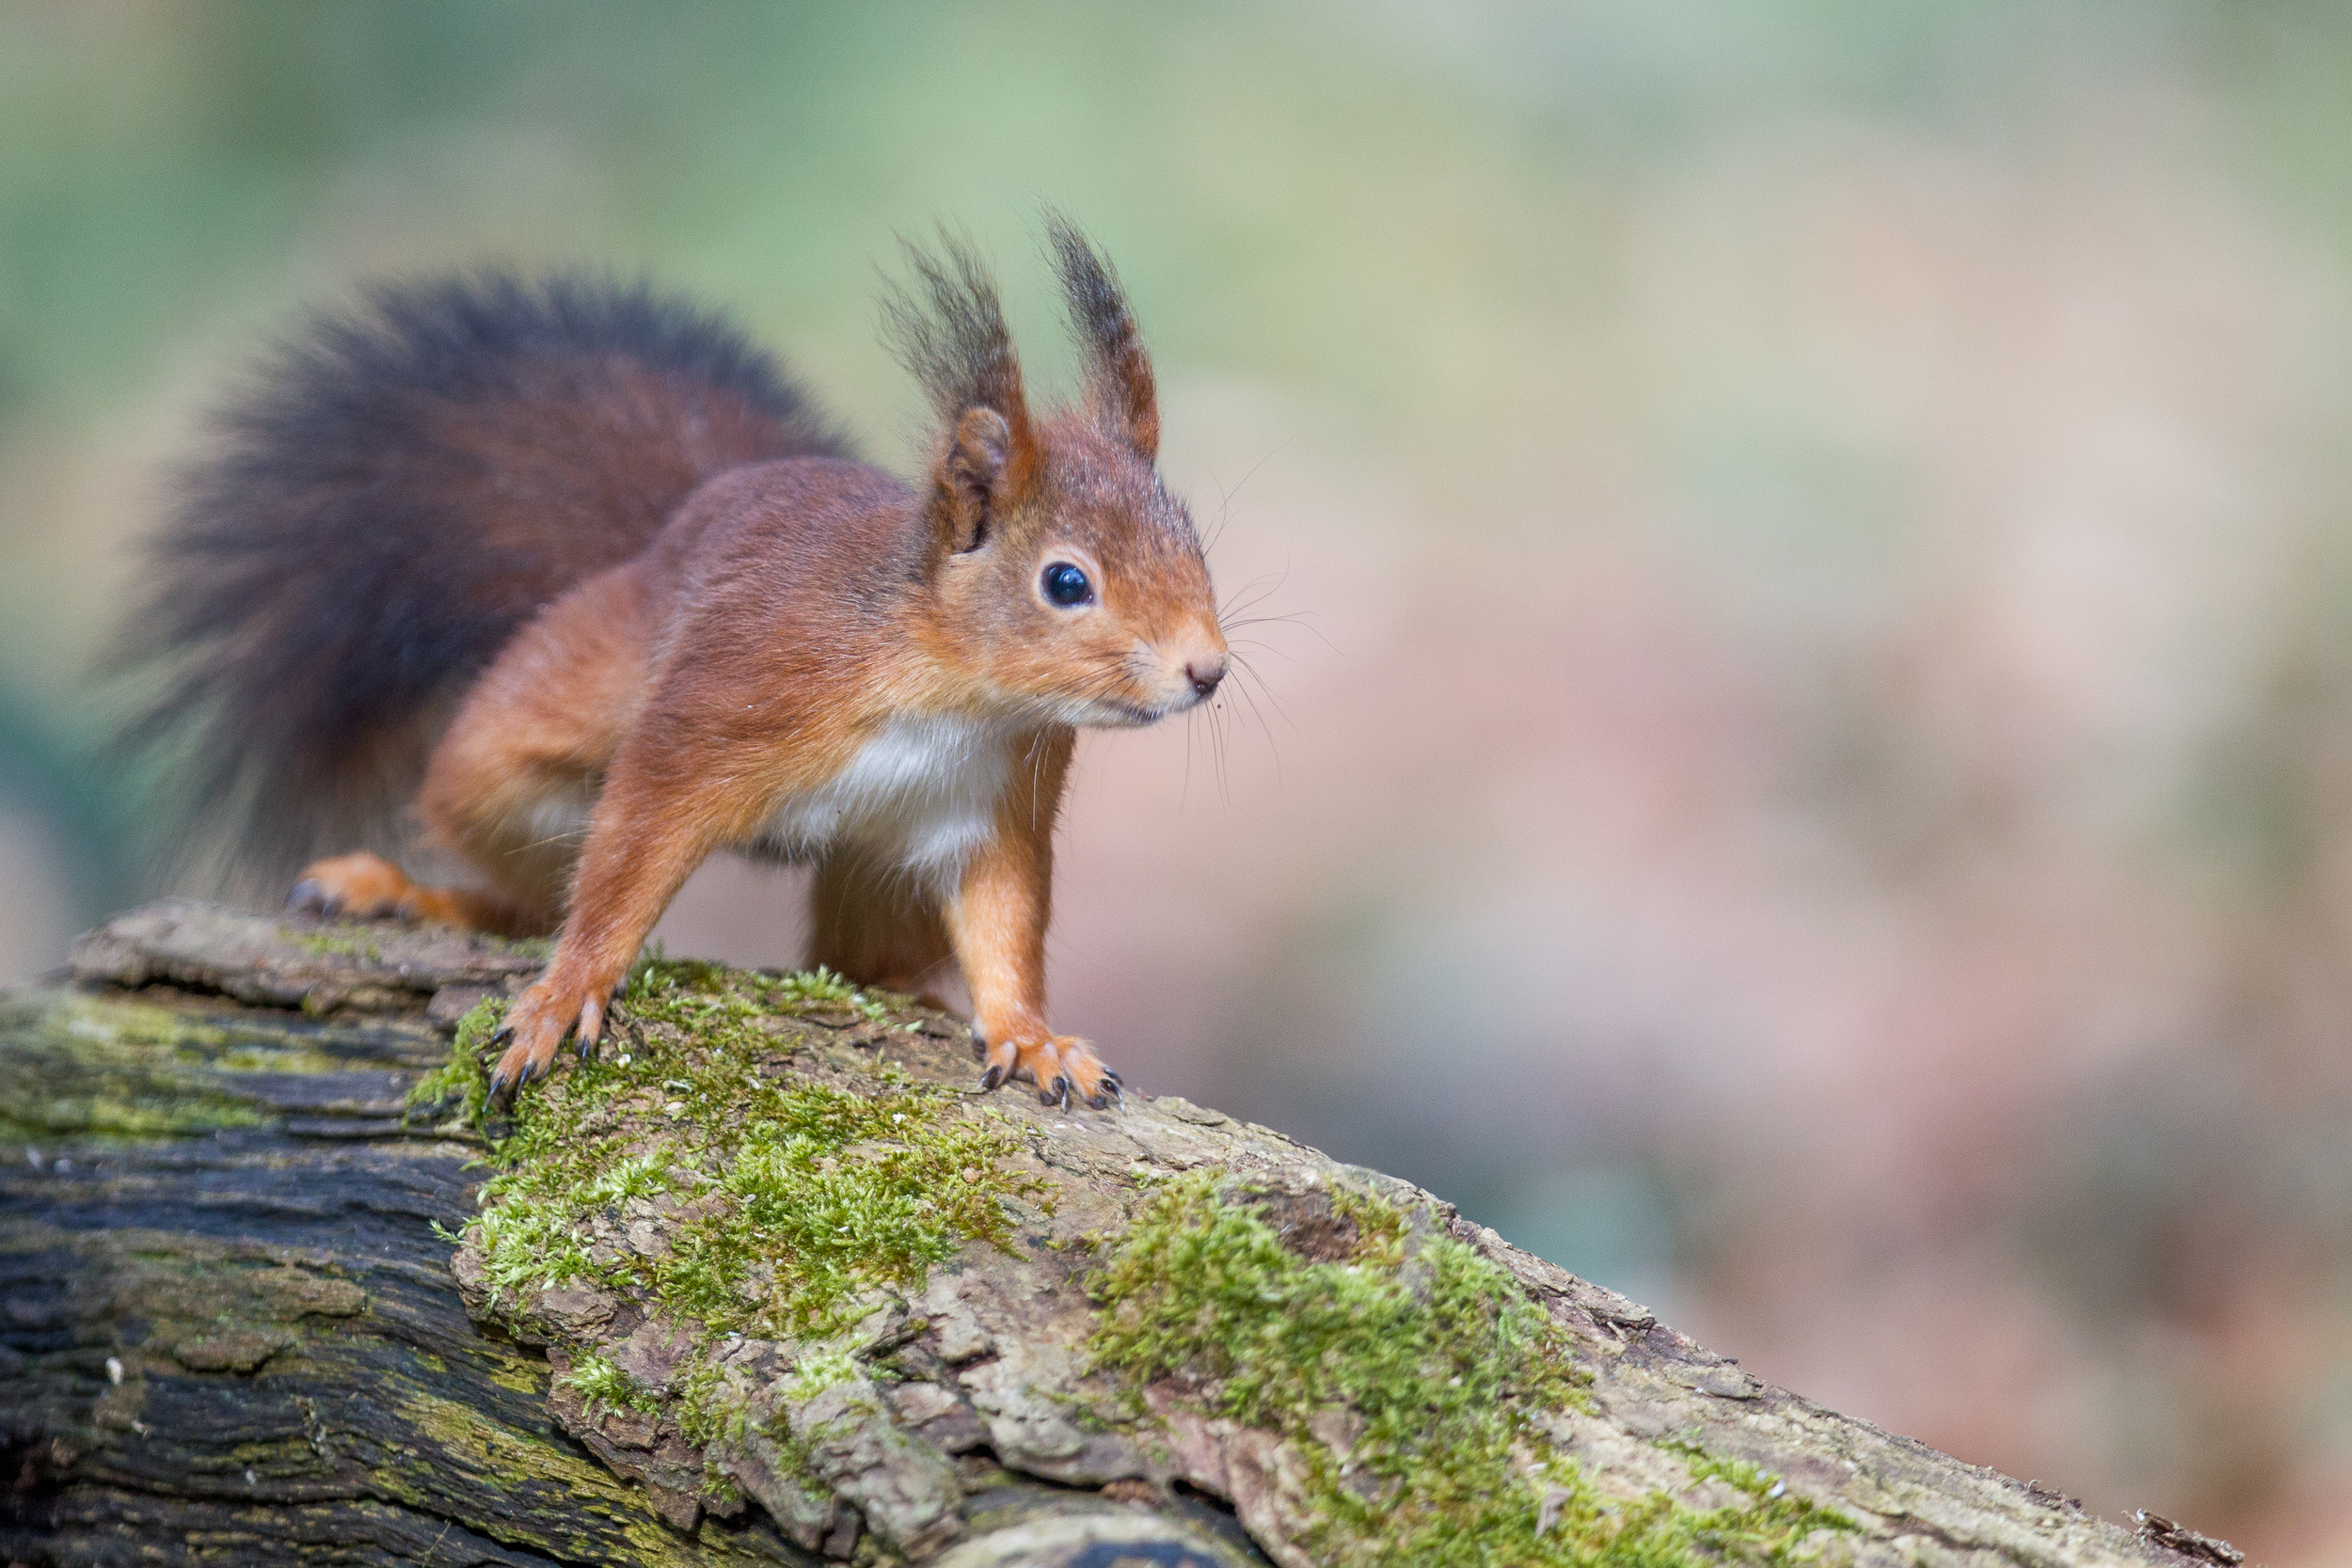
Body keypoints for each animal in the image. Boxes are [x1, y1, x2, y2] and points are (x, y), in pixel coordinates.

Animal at [123, 223, 1232, 1114]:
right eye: (1065, 581)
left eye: (1194, 543)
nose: (1208, 670)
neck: (949, 690)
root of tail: (668, 530)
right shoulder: (726, 697)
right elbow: (627, 856)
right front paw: (567, 992)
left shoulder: (994, 798)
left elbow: (1006, 921)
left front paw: (1031, 1034)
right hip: (512, 750)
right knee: (520, 880)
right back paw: (410, 893)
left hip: (877, 871)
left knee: (849, 956)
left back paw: (907, 990)